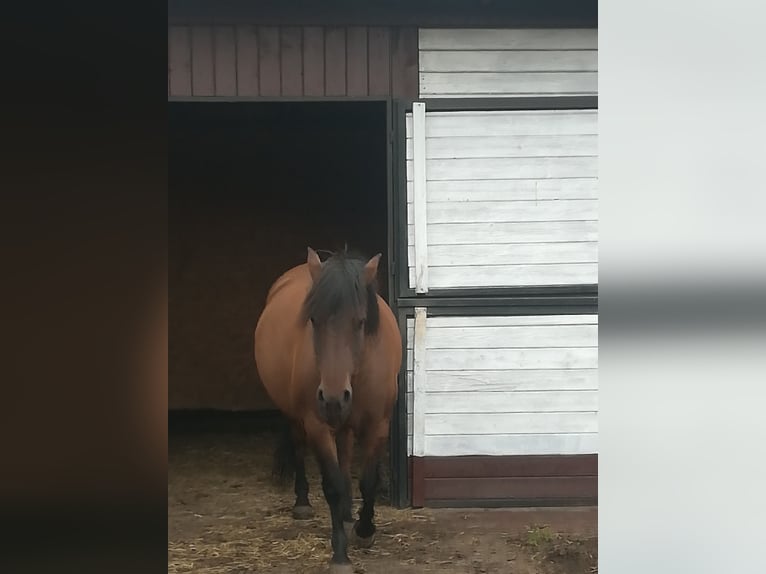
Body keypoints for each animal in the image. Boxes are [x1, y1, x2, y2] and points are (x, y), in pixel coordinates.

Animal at [256, 249, 404, 574]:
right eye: (314, 319)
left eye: (360, 322)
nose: (333, 399)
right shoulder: (317, 425)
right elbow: (333, 484)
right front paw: (340, 555)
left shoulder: (378, 424)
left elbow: (368, 480)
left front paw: (364, 530)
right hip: (299, 419)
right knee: (299, 447)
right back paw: (303, 503)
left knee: (346, 452)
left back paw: (349, 515)